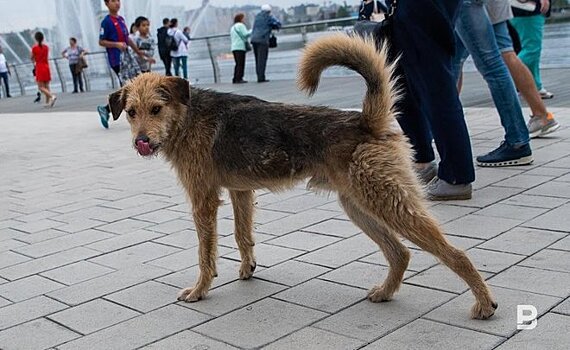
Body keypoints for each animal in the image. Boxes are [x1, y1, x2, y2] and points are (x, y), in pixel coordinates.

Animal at [108, 34, 494, 318]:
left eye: (157, 109)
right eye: (131, 112)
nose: (142, 142)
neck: (187, 115)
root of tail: (367, 121)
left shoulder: (203, 200)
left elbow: (207, 252)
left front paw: (200, 289)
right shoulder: (239, 192)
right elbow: (243, 236)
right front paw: (247, 269)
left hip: (389, 202)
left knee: (454, 253)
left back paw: (483, 302)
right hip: (359, 205)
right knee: (400, 253)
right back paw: (386, 292)